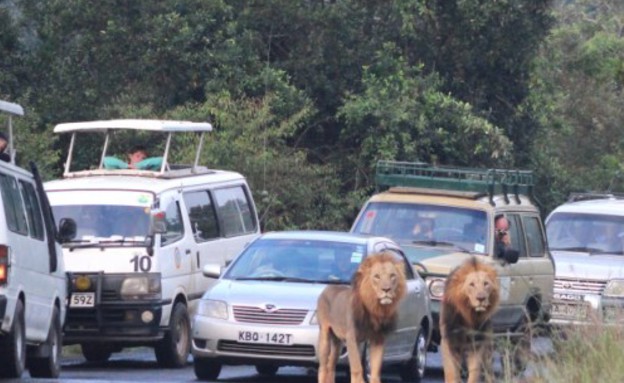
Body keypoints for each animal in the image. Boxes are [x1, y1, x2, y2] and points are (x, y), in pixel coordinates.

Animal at [314, 252, 408, 383]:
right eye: (377, 276)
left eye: (392, 276)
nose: (386, 289)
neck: (376, 308)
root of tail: (328, 287)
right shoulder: (351, 337)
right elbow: (357, 367)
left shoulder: (378, 339)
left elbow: (375, 371)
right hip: (324, 333)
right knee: (323, 367)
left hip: (338, 341)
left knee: (331, 365)